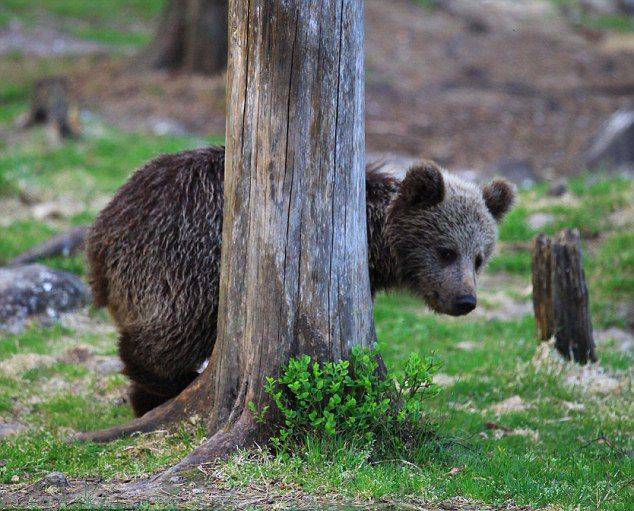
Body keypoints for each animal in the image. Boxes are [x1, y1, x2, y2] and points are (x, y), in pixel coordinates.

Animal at [86, 146, 512, 418]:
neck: (373, 237)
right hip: (184, 257)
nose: (465, 300)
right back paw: (168, 381)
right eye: (446, 251)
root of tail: (101, 235)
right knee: (172, 329)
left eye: (479, 257)